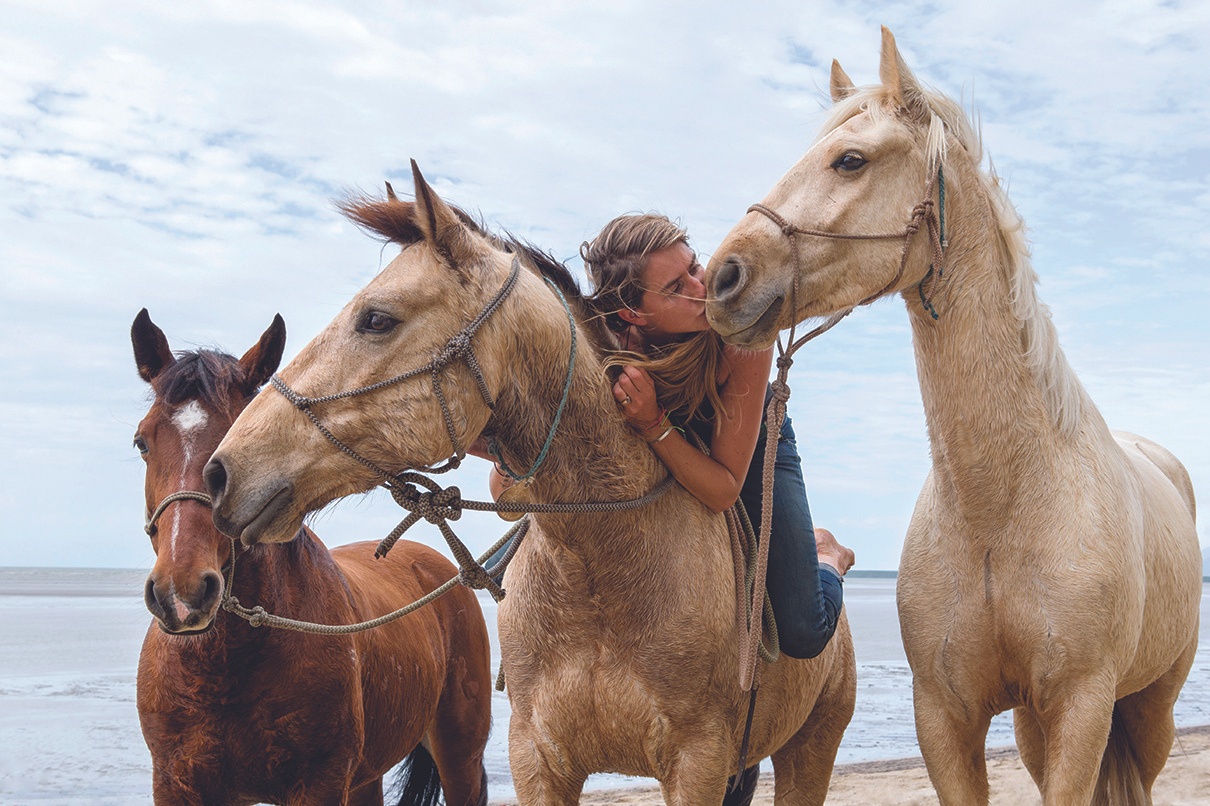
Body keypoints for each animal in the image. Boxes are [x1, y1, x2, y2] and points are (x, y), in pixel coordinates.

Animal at [132, 307, 491, 803]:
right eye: (142, 442)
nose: (182, 592)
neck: (229, 667)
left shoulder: (319, 782)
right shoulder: (175, 783)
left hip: (460, 757)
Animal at [203, 163, 856, 803]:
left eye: (377, 319)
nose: (222, 470)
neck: (598, 568)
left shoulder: (697, 762)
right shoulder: (538, 759)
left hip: (809, 749)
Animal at [706, 28, 1205, 798]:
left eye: (851, 160)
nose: (722, 278)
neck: (1003, 507)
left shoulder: (1082, 708)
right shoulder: (945, 718)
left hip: (1151, 708)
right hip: (1032, 726)